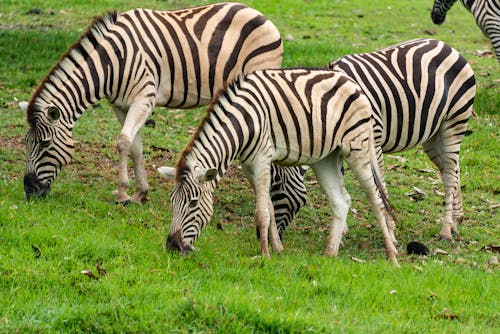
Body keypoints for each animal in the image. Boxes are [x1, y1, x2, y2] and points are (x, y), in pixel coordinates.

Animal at [19, 1, 306, 230]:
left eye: (44, 144)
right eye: (27, 143)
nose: (29, 190)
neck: (111, 62)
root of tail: (263, 16)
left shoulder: (144, 97)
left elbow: (122, 142)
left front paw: (122, 193)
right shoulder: (121, 104)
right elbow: (135, 146)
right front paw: (139, 194)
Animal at [158, 68, 400, 264]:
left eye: (193, 203)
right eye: (172, 201)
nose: (172, 247)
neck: (243, 122)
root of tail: (353, 83)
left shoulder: (262, 158)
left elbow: (261, 212)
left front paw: (265, 255)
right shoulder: (248, 164)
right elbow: (270, 207)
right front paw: (277, 249)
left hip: (357, 147)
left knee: (376, 199)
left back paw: (392, 256)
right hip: (326, 158)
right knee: (341, 201)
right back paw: (330, 254)